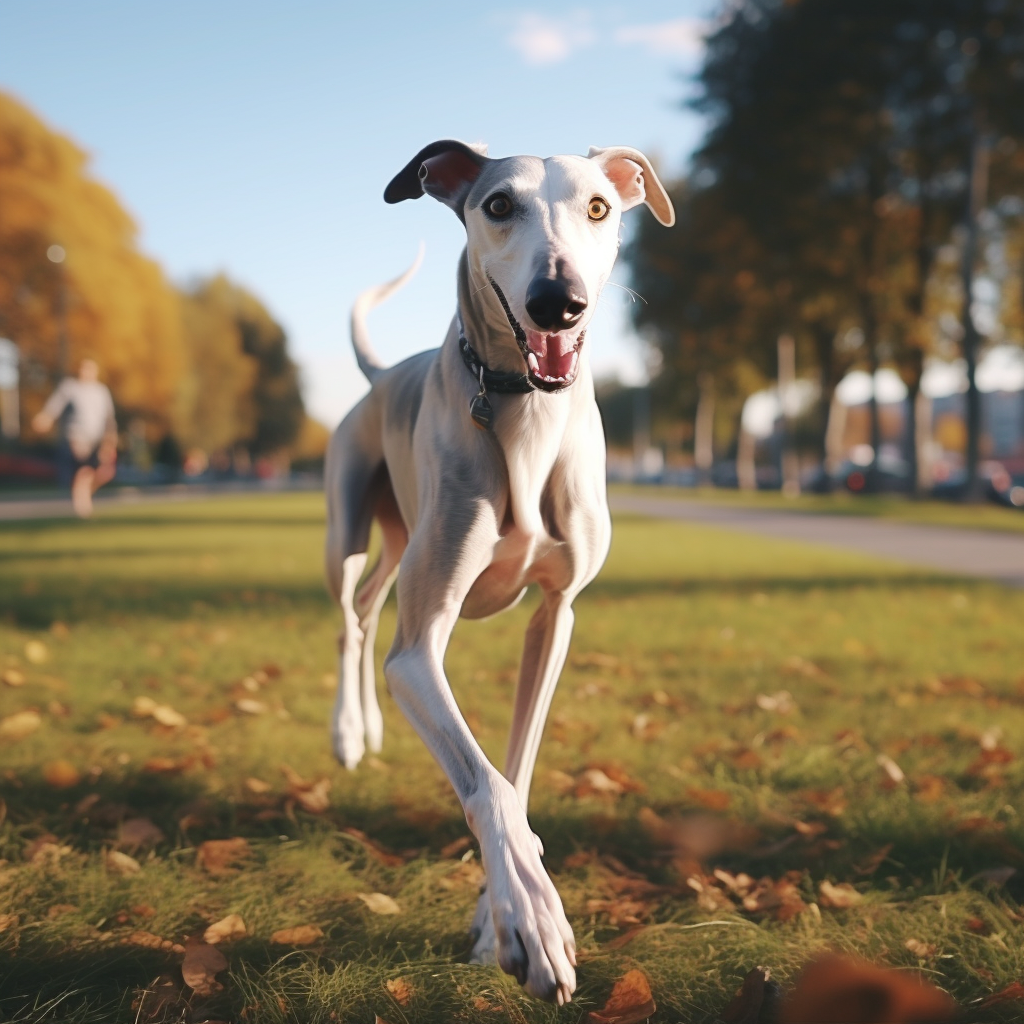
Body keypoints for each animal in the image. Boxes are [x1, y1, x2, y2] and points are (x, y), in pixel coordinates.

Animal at [325, 140, 671, 1003]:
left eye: (598, 207)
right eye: (499, 205)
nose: (559, 303)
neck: (524, 411)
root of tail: (385, 374)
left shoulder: (557, 616)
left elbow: (516, 768)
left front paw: (494, 922)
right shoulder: (420, 653)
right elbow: (487, 783)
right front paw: (534, 924)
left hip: (398, 541)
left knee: (371, 608)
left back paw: (369, 727)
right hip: (348, 529)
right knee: (350, 619)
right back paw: (347, 732)